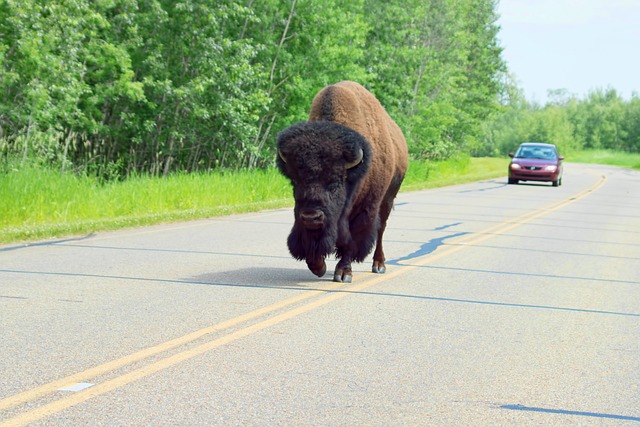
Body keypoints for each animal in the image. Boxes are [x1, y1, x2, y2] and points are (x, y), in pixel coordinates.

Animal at [276, 82, 408, 284]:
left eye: (334, 182)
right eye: (295, 181)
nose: (311, 216)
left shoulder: (363, 210)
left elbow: (350, 240)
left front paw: (343, 273)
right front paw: (318, 267)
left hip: (388, 198)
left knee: (381, 230)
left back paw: (379, 265)